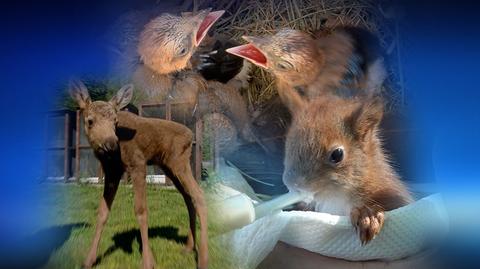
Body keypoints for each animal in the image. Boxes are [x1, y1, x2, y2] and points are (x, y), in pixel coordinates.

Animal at [69, 80, 206, 268]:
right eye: (90, 121)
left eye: (115, 121)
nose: (111, 144)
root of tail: (191, 135)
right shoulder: (112, 172)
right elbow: (103, 211)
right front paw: (89, 259)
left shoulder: (138, 164)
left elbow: (141, 210)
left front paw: (148, 260)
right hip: (170, 167)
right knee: (188, 197)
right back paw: (188, 247)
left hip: (180, 163)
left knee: (199, 195)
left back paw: (203, 259)